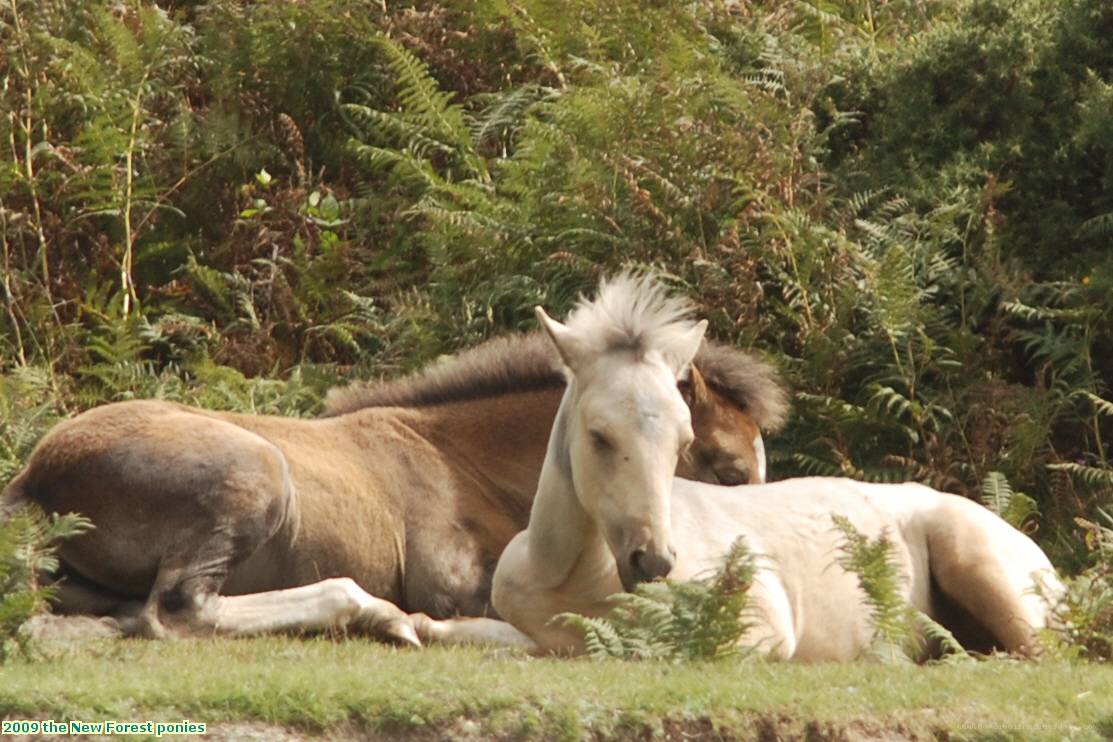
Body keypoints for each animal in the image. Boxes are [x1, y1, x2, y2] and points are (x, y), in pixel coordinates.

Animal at [0, 324, 788, 645]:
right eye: (722, 465)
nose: (654, 562)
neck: (463, 458)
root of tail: (34, 477)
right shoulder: (455, 583)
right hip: (255, 476)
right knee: (178, 611)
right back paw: (378, 617)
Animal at [418, 275, 1059, 658]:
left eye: (682, 439)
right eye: (599, 435)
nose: (653, 563)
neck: (568, 577)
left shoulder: (759, 628)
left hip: (981, 570)